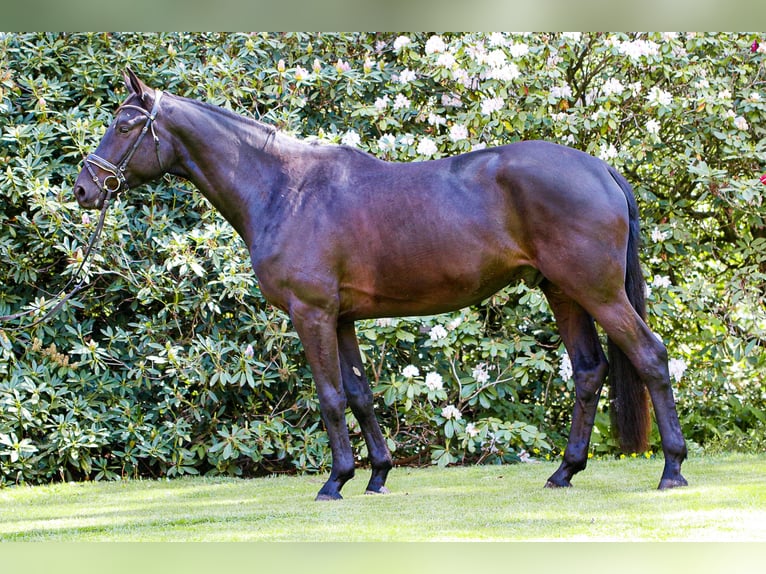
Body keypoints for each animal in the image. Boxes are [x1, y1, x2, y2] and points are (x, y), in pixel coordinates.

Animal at [74, 69, 688, 500]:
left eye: (124, 126)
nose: (84, 189)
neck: (284, 189)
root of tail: (600, 168)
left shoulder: (311, 313)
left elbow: (329, 397)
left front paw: (334, 481)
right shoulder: (342, 317)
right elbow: (360, 394)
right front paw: (376, 476)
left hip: (598, 292)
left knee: (651, 356)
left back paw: (672, 469)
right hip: (563, 292)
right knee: (589, 371)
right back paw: (564, 472)